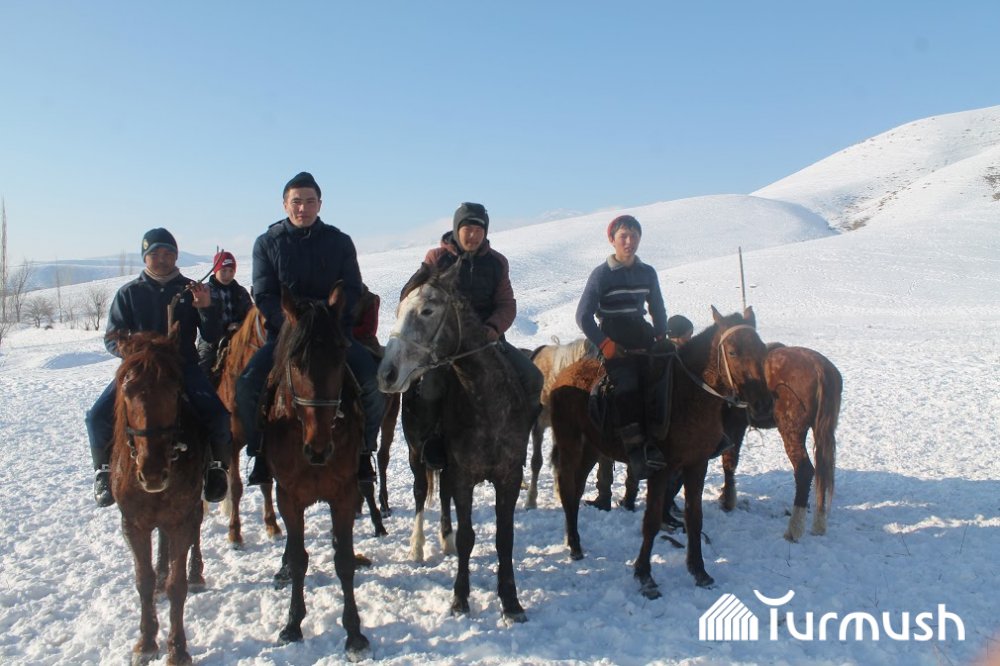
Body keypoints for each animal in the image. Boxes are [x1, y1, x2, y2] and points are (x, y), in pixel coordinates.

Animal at [109, 327, 207, 665]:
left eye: (174, 390)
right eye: (127, 389)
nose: (152, 473)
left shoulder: (181, 519)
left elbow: (177, 585)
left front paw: (177, 648)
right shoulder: (133, 524)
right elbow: (144, 580)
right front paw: (146, 641)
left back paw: (196, 573)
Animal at [262, 285, 369, 656]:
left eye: (340, 355)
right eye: (296, 362)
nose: (319, 448)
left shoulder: (344, 494)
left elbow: (344, 560)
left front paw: (354, 631)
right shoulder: (288, 497)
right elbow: (298, 560)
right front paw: (293, 624)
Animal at [377, 261, 533, 622]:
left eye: (427, 310)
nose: (387, 374)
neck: (487, 403)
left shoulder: (509, 476)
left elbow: (504, 538)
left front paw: (511, 602)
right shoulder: (463, 477)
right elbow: (467, 537)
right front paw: (460, 598)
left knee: (443, 495)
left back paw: (443, 539)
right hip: (417, 453)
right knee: (422, 492)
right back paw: (419, 546)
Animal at [549, 306, 773, 599]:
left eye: (761, 349)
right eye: (733, 352)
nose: (763, 404)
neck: (689, 395)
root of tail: (563, 376)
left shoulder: (696, 465)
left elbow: (694, 517)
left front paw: (699, 571)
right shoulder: (660, 470)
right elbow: (652, 520)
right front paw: (645, 576)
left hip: (592, 449)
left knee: (575, 492)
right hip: (570, 445)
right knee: (566, 489)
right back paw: (574, 546)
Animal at [719, 343, 842, 541]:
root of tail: (819, 367)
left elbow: (727, 461)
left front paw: (727, 501)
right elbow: (730, 461)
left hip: (791, 431)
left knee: (804, 471)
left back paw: (794, 529)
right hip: (822, 433)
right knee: (823, 472)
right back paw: (819, 525)